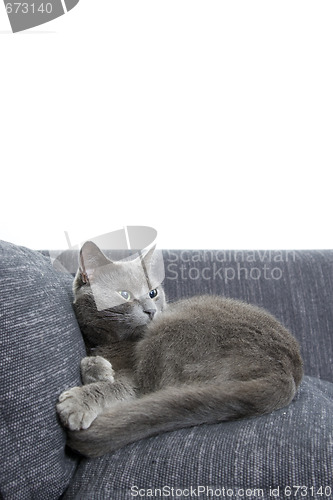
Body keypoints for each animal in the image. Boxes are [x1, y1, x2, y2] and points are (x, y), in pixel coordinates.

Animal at [56, 242, 300, 458]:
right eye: (124, 294)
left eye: (153, 293)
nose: (151, 310)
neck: (111, 341)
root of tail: (285, 371)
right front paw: (99, 369)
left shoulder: (134, 377)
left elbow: (117, 387)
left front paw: (78, 402)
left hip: (168, 331)